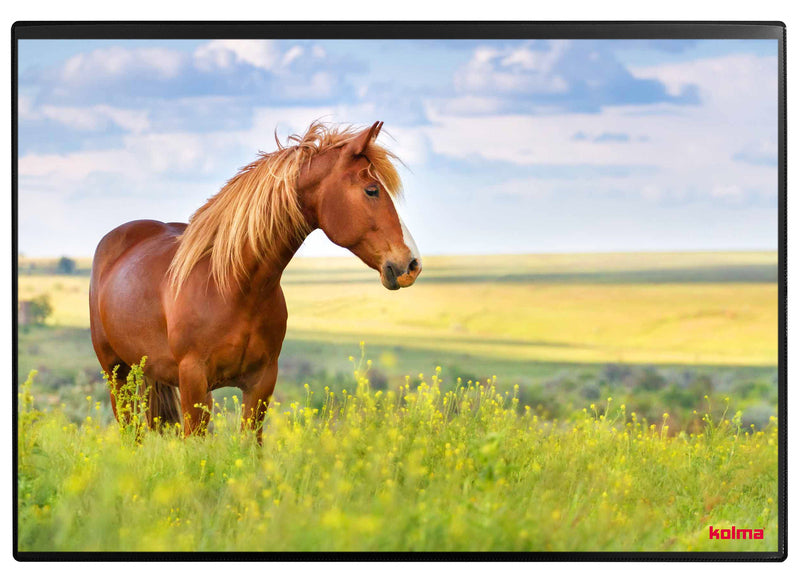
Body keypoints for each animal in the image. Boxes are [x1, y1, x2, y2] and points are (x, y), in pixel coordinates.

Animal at [89, 121, 421, 441]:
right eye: (372, 190)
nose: (412, 264)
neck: (233, 287)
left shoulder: (261, 383)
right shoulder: (194, 382)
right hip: (116, 374)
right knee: (130, 434)